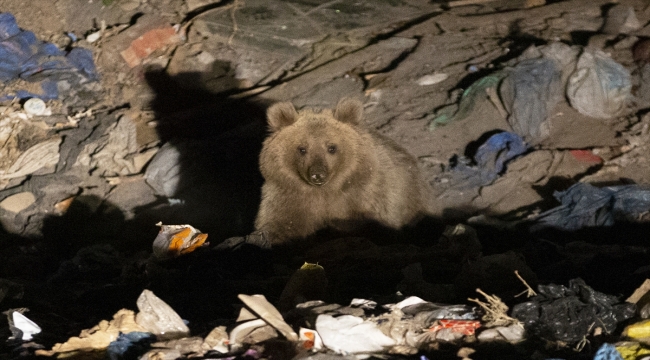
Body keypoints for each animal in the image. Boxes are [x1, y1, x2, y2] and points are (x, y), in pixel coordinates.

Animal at [254, 98, 430, 245]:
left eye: (331, 147)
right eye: (302, 148)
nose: (317, 175)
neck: (324, 192)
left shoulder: (364, 193)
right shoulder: (288, 197)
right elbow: (281, 225)